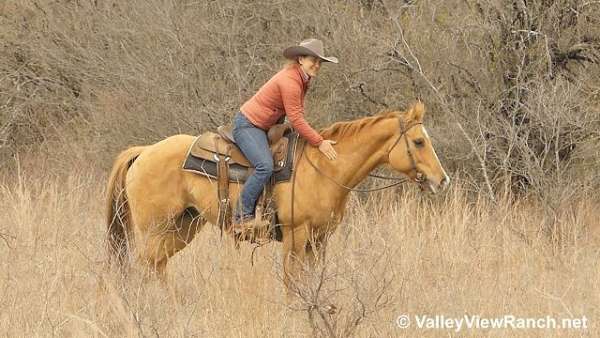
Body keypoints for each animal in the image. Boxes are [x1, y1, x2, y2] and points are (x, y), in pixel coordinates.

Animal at [105, 101, 448, 286]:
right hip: (155, 228)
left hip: (181, 228)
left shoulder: (319, 240)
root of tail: (144, 151)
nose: (442, 181)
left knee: (156, 266)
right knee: (145, 266)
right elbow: (291, 281)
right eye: (419, 141)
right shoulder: (296, 236)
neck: (324, 168)